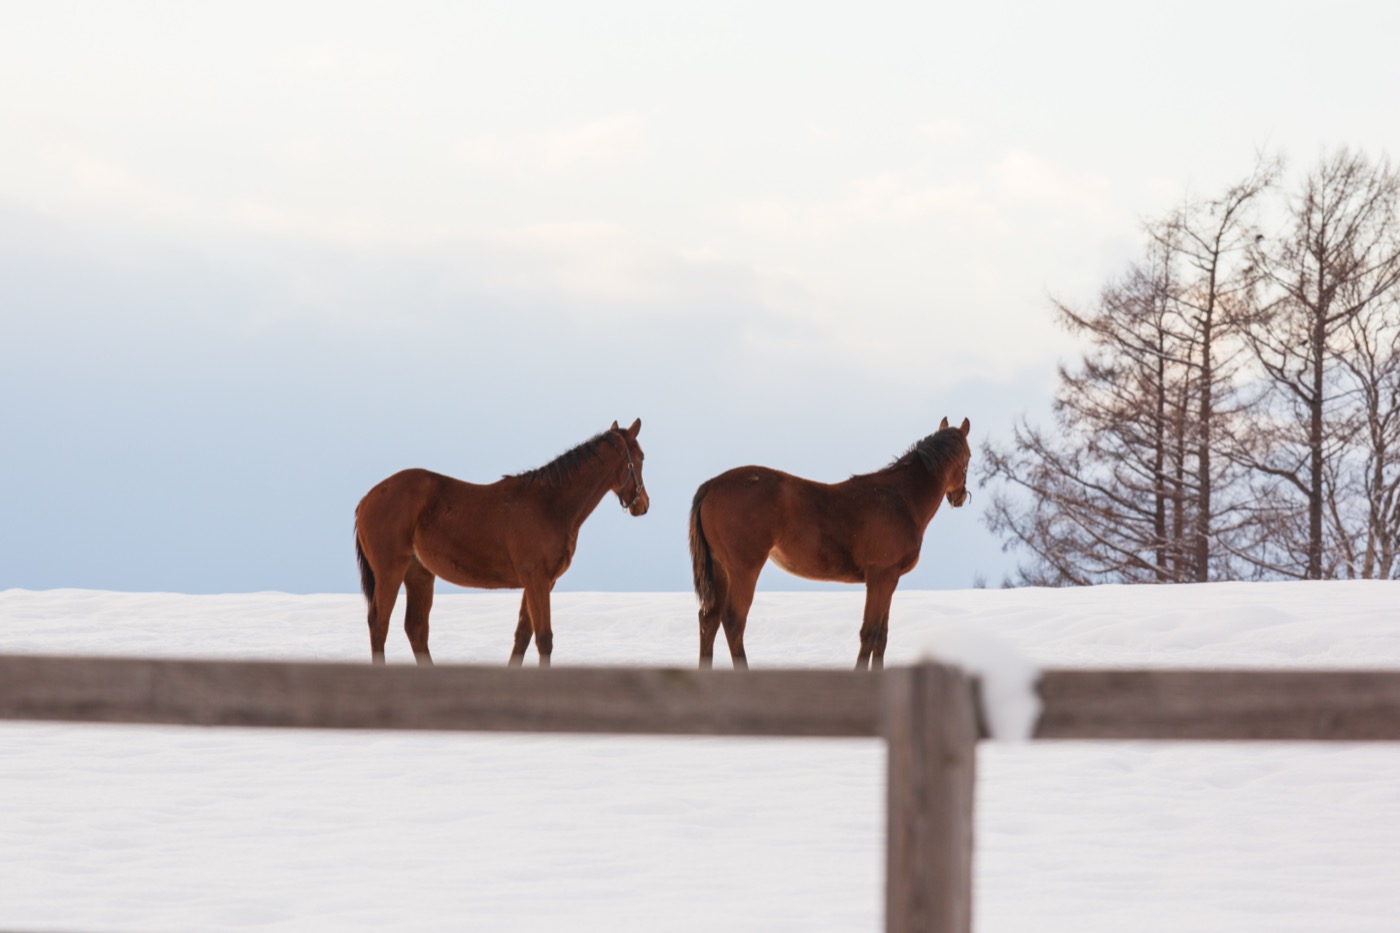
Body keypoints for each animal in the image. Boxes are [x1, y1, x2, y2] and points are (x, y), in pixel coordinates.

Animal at [354, 419, 649, 666]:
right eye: (641, 458)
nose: (643, 505)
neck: (549, 505)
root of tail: (368, 498)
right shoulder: (537, 580)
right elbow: (544, 639)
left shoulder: (540, 583)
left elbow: (523, 637)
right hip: (391, 572)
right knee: (379, 625)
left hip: (419, 574)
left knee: (415, 628)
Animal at [688, 417, 971, 671]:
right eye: (968, 458)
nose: (959, 497)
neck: (901, 499)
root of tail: (712, 485)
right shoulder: (880, 577)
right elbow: (869, 633)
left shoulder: (890, 580)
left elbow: (882, 637)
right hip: (743, 570)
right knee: (733, 622)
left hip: (721, 570)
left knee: (709, 620)